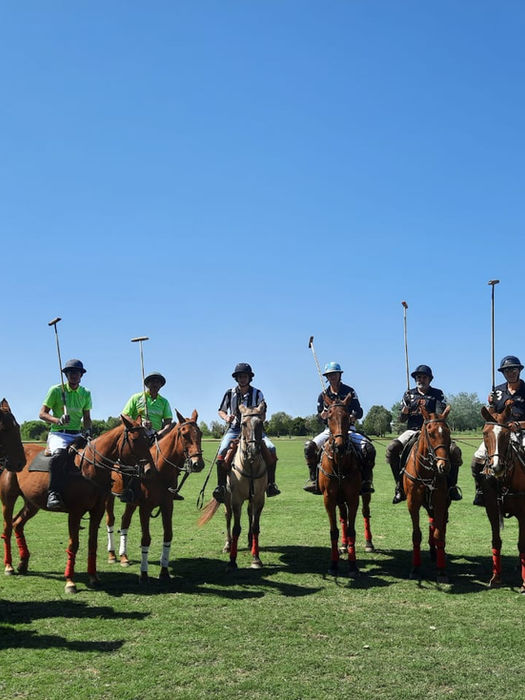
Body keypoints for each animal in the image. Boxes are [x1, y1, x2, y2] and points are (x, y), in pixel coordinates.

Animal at [0, 416, 154, 593]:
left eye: (148, 439)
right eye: (135, 440)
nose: (149, 469)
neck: (90, 468)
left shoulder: (97, 511)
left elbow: (92, 544)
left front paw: (94, 577)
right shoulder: (75, 512)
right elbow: (73, 545)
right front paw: (70, 582)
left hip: (32, 503)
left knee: (17, 523)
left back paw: (23, 563)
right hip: (8, 499)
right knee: (7, 528)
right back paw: (9, 566)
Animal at [105, 409, 204, 582]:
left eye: (201, 433)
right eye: (184, 434)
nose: (198, 464)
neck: (160, 470)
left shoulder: (167, 506)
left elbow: (168, 535)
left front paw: (164, 571)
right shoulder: (145, 508)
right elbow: (146, 539)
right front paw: (144, 574)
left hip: (131, 502)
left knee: (124, 521)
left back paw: (124, 557)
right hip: (109, 497)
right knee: (110, 520)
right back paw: (112, 555)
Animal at [199, 401, 268, 570]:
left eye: (261, 423)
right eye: (243, 423)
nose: (252, 450)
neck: (250, 464)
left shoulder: (259, 499)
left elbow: (256, 527)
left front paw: (256, 558)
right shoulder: (236, 499)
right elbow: (236, 528)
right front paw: (232, 561)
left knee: (249, 514)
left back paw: (250, 542)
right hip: (227, 498)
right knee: (228, 516)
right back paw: (227, 545)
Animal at [402, 404, 452, 583]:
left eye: (448, 432)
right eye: (430, 433)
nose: (443, 466)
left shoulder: (439, 500)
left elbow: (439, 534)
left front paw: (441, 570)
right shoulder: (413, 502)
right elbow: (416, 535)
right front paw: (415, 568)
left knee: (441, 526)